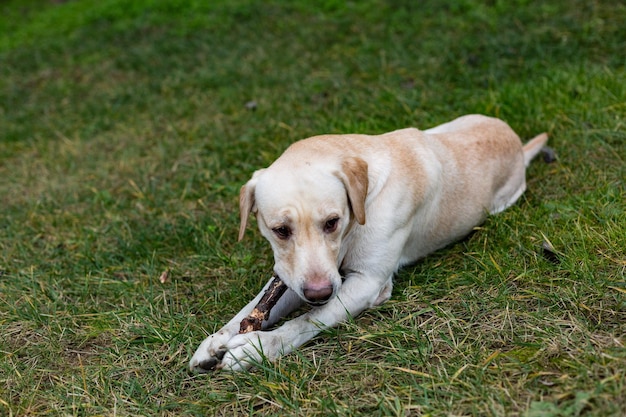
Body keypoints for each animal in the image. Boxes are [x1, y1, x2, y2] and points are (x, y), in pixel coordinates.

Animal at [188, 114, 544, 370]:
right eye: (280, 230)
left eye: (332, 222)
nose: (319, 293)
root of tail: (516, 140)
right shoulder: (295, 276)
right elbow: (250, 309)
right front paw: (215, 341)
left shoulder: (367, 282)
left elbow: (308, 319)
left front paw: (258, 347)